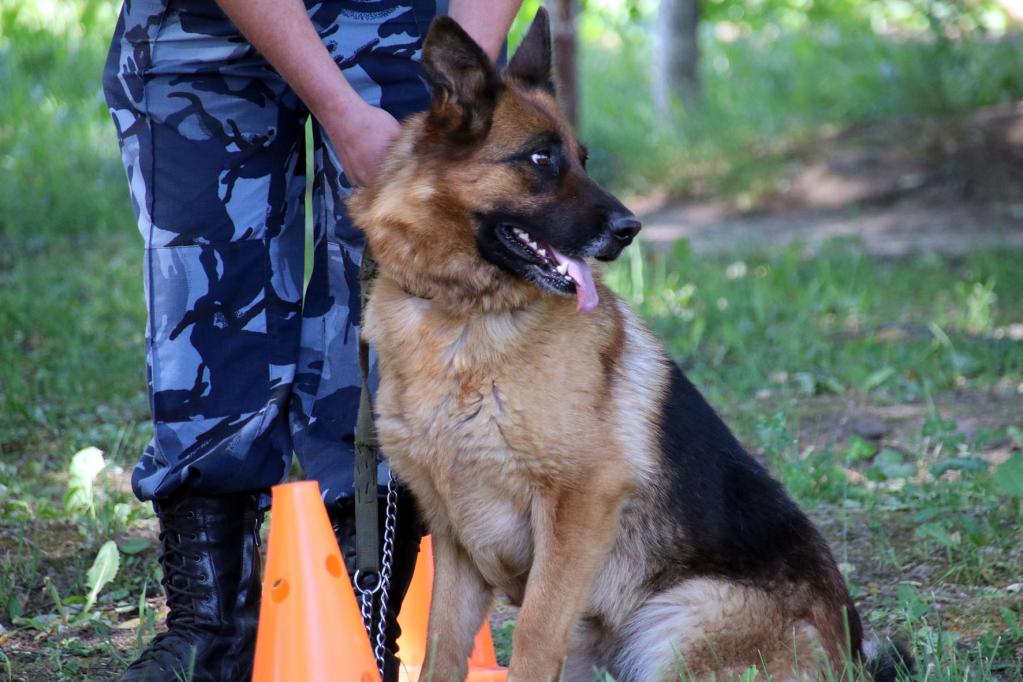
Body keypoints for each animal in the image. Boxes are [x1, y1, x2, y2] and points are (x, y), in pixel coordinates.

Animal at [350, 10, 904, 681]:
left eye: (583, 159)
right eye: (542, 158)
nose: (629, 230)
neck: (460, 315)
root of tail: (850, 657)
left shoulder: (579, 505)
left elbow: (534, 638)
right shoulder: (455, 535)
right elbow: (441, 651)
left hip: (674, 623)